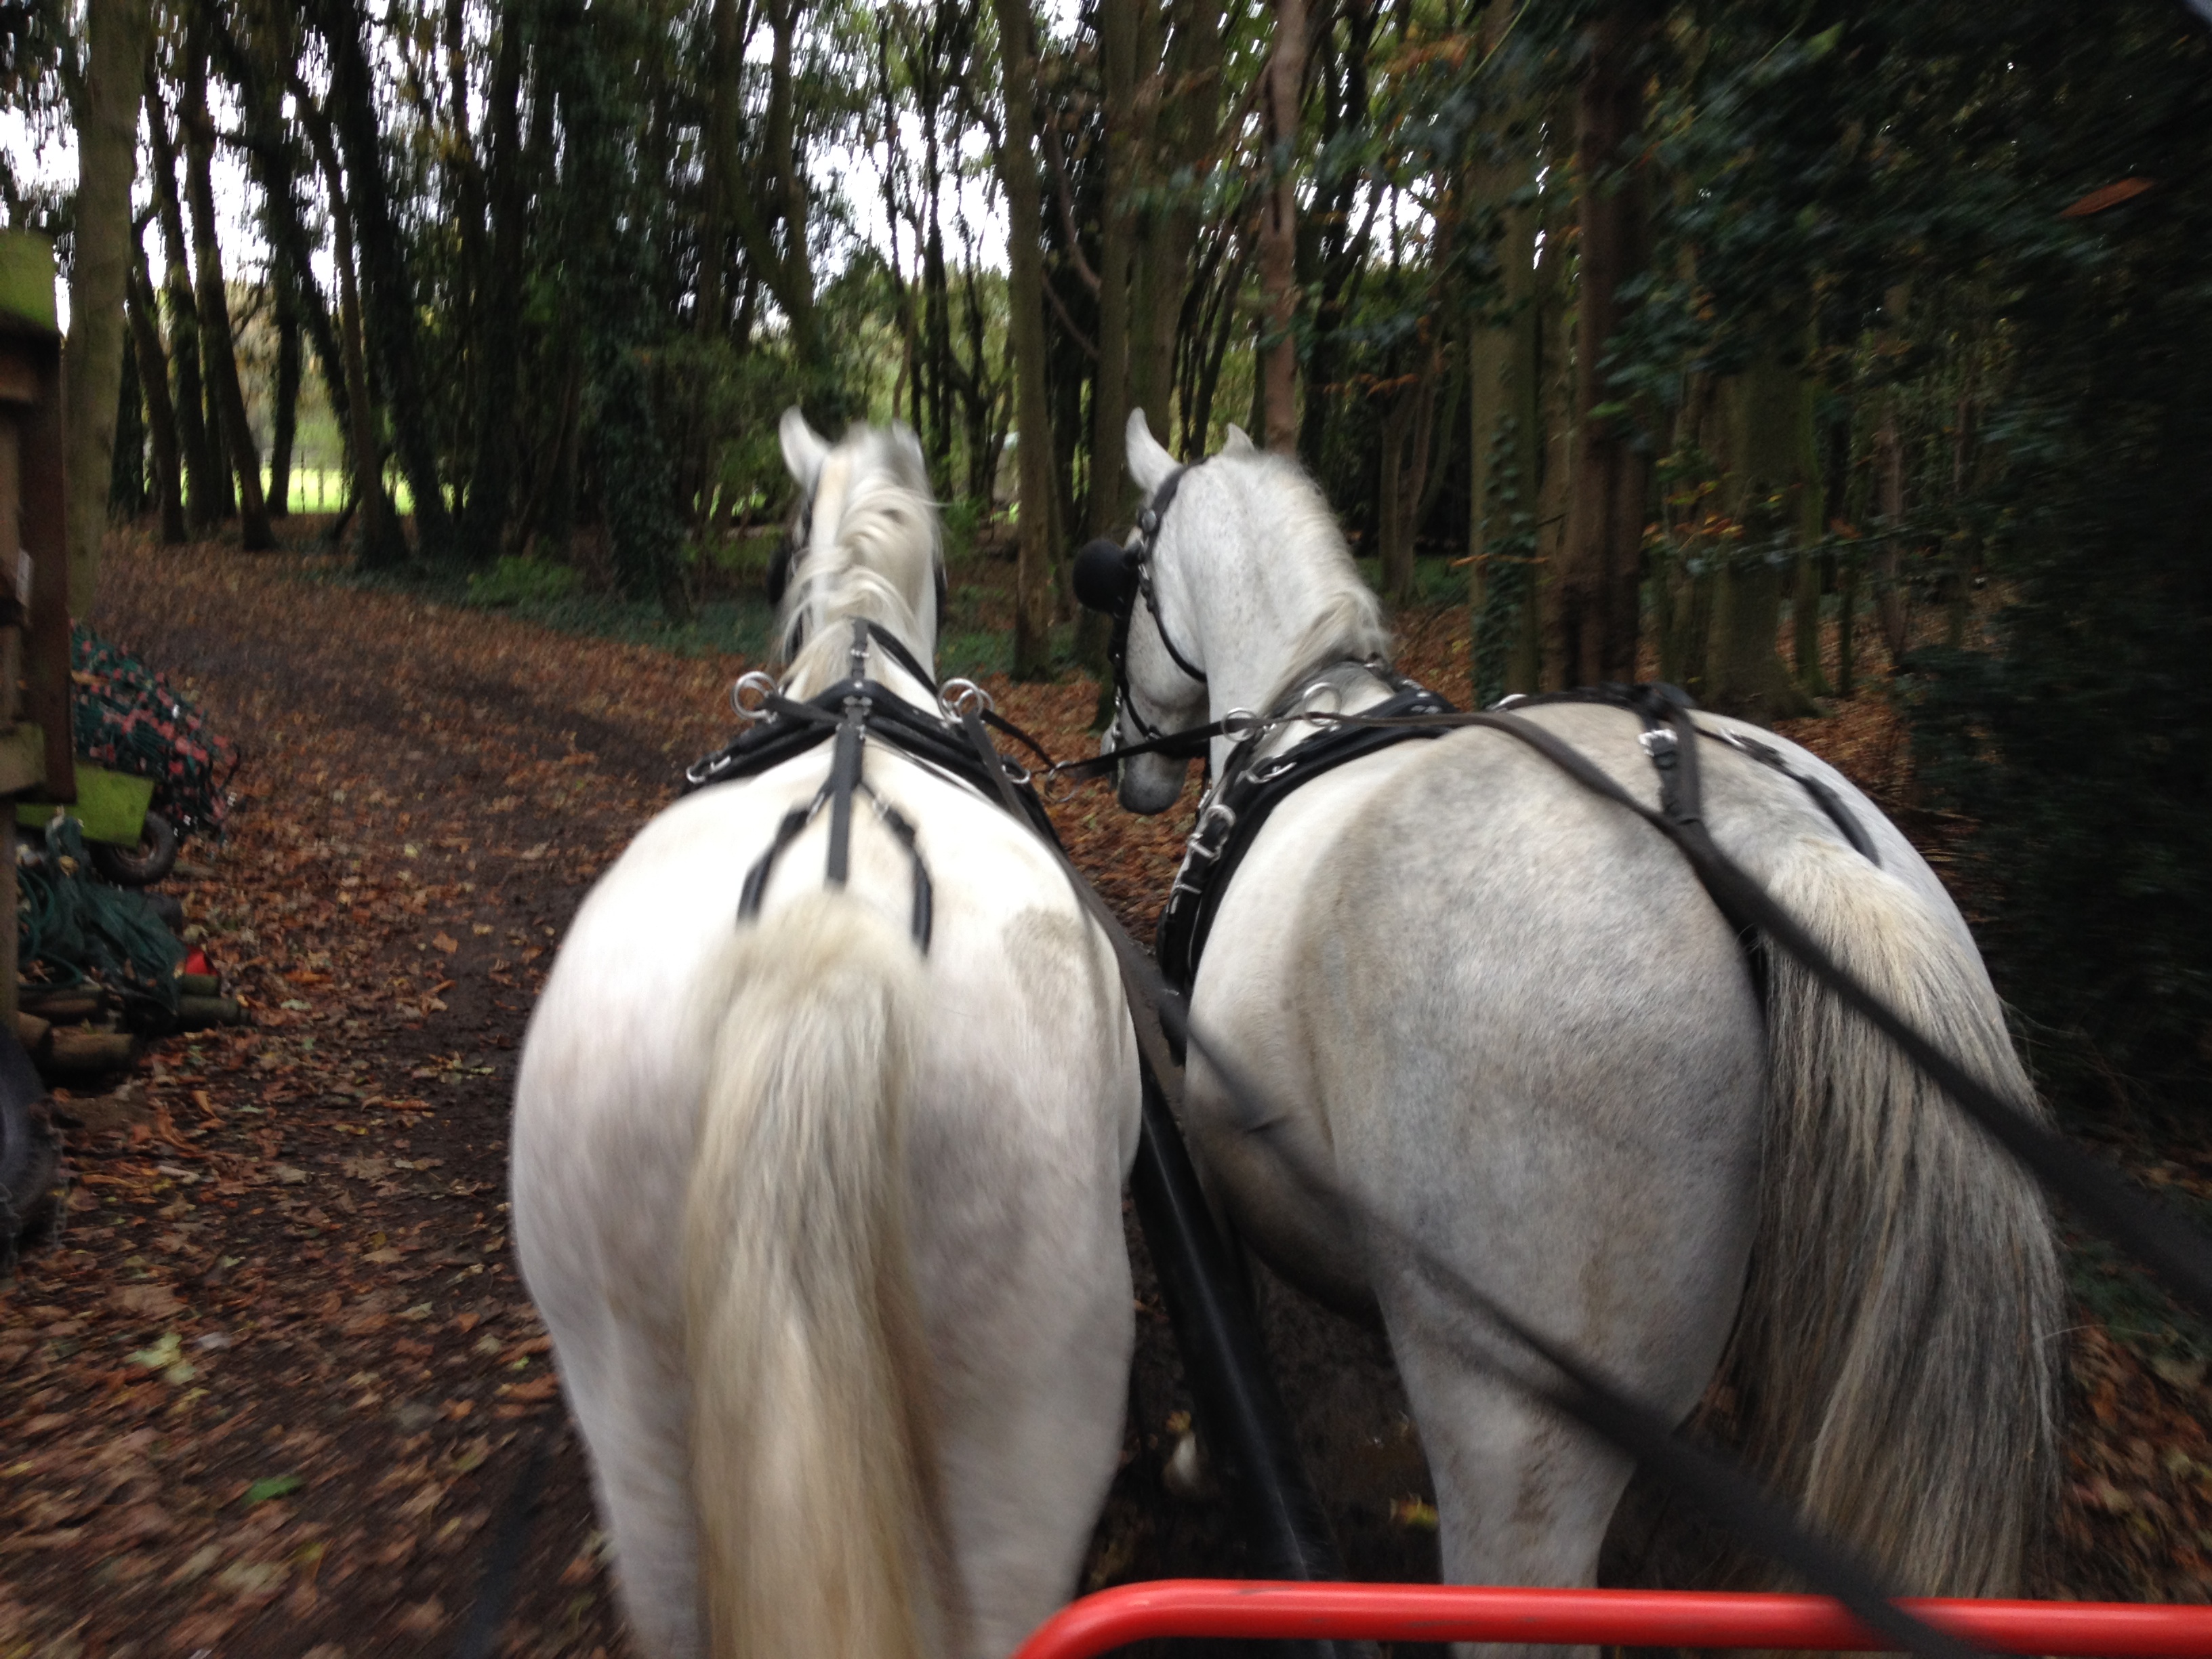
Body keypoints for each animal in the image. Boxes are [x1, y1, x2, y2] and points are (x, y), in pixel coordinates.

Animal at [1097, 409, 2060, 1628]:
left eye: (1123, 574)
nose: (1121, 760)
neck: (1301, 710)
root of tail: (1768, 834)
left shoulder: (1210, 1122)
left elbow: (1229, 1304)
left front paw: (1198, 1459)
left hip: (1520, 1441)